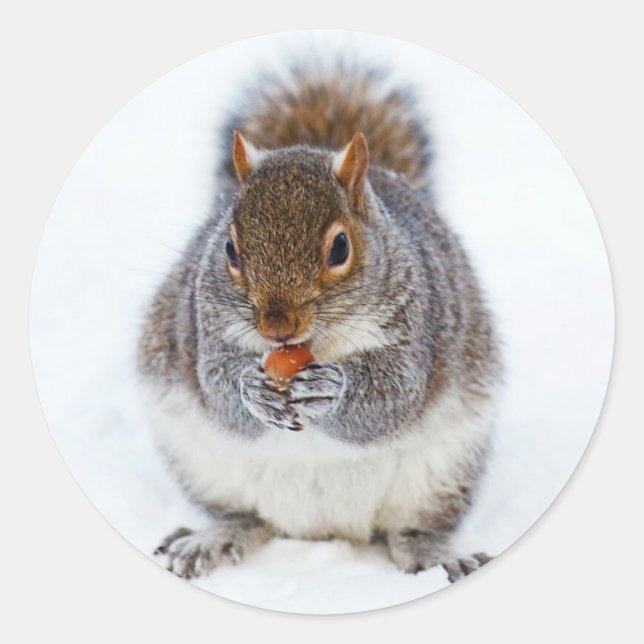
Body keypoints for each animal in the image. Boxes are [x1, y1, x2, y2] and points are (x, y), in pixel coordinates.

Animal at [138, 63, 502, 582]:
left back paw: (439, 554)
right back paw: (213, 537)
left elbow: (394, 395)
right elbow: (216, 386)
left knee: (411, 531)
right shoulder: (204, 325)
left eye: (340, 248)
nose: (276, 326)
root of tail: (324, 529)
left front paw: (332, 389)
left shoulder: (417, 326)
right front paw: (252, 390)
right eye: (229, 248)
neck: (313, 343)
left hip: (444, 471)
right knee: (247, 516)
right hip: (201, 464)